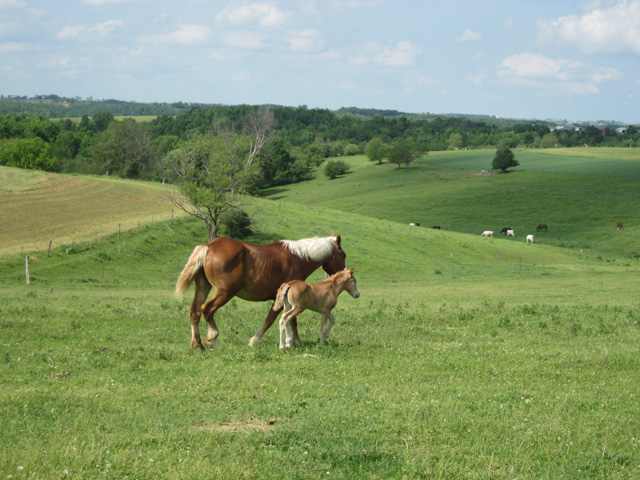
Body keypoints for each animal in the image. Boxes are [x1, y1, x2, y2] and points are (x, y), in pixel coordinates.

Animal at [174, 235, 344, 348]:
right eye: (343, 255)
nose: (345, 271)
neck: (299, 258)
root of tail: (209, 246)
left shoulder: (292, 301)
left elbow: (292, 321)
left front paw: (295, 341)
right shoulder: (282, 301)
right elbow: (271, 320)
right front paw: (255, 340)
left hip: (204, 287)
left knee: (195, 311)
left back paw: (197, 344)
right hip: (224, 293)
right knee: (207, 309)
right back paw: (211, 338)